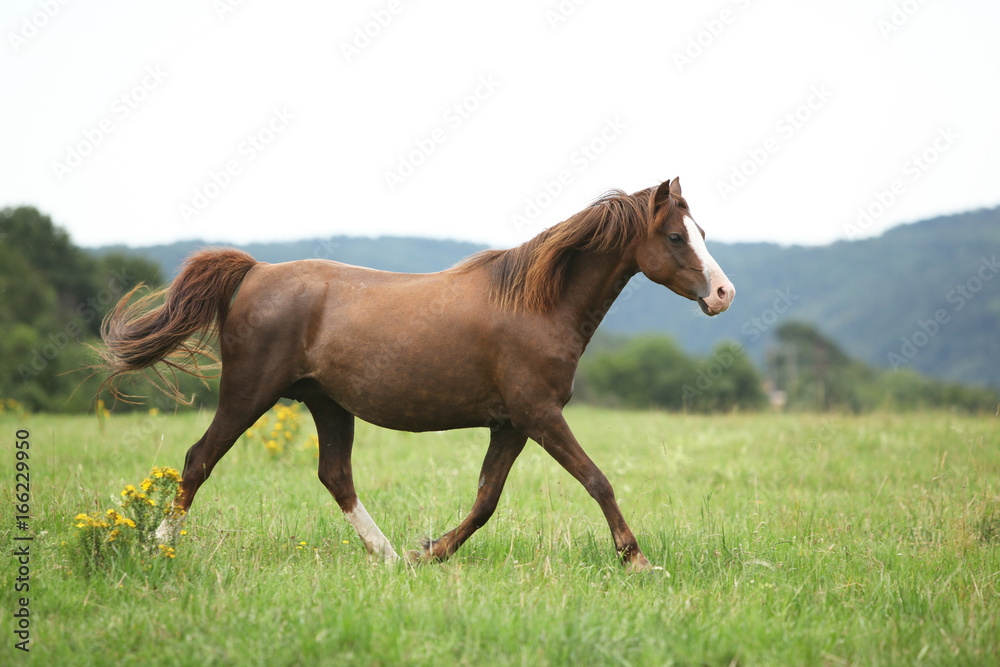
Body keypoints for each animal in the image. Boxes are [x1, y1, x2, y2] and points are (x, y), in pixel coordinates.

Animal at [99, 177, 734, 572]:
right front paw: (640, 561)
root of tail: (255, 272)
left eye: (701, 234)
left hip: (328, 403)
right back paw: (158, 547)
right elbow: (597, 481)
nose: (723, 293)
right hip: (247, 394)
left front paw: (428, 552)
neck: (536, 304)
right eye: (675, 236)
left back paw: (386, 556)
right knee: (198, 459)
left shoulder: (512, 424)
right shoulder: (539, 414)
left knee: (335, 476)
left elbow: (485, 501)